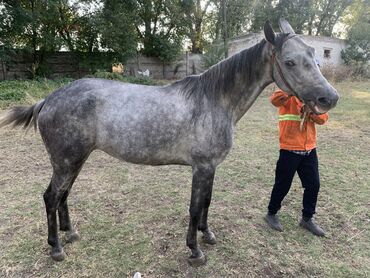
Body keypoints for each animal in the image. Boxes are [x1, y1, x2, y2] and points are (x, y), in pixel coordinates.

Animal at [0, 19, 338, 264]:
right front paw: (195, 251)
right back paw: (56, 248)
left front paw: (207, 235)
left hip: (75, 160)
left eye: (314, 58)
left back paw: (70, 234)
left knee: (63, 195)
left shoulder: (210, 168)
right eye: (290, 62)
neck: (214, 100)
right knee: (50, 197)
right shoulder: (201, 168)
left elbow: (206, 203)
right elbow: (194, 207)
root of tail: (48, 99)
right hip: (66, 161)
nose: (329, 98)